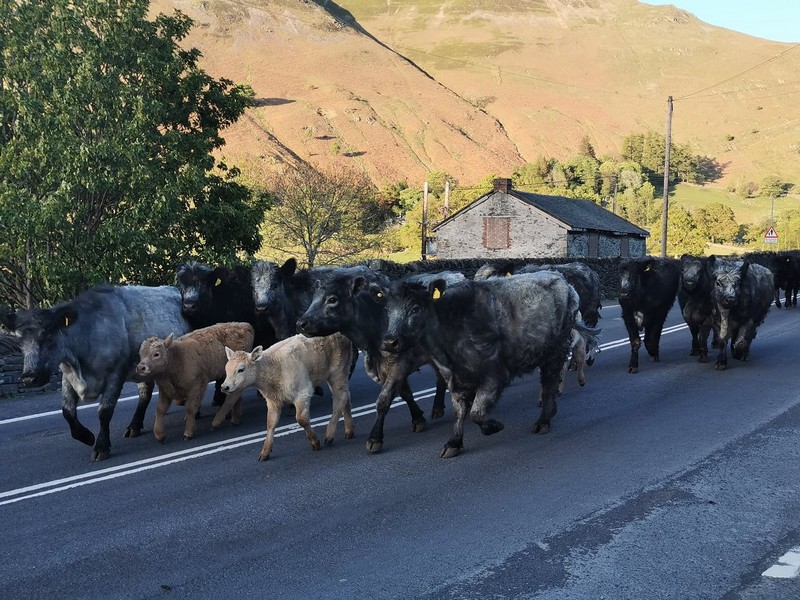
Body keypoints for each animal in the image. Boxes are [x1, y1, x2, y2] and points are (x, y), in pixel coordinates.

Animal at [0, 285, 191, 461]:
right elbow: (67, 410)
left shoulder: (116, 374)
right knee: (145, 392)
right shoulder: (67, 375)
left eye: (48, 338)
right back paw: (134, 426)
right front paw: (86, 436)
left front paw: (101, 447)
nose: (29, 378)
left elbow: (104, 411)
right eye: (20, 343)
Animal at [295, 266, 450, 453]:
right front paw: (418, 419)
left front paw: (375, 438)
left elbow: (383, 400)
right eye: (313, 299)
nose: (301, 323)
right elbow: (405, 393)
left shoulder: (399, 364)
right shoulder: (386, 369)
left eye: (332, 299)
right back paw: (437, 408)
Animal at [381, 271, 599, 458]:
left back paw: (543, 421)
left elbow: (476, 413)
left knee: (550, 383)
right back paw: (551, 410)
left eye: (415, 308)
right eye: (388, 310)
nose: (390, 342)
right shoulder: (456, 378)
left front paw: (493, 426)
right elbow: (459, 411)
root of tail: (565, 282)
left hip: (556, 351)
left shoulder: (495, 375)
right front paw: (453, 443)